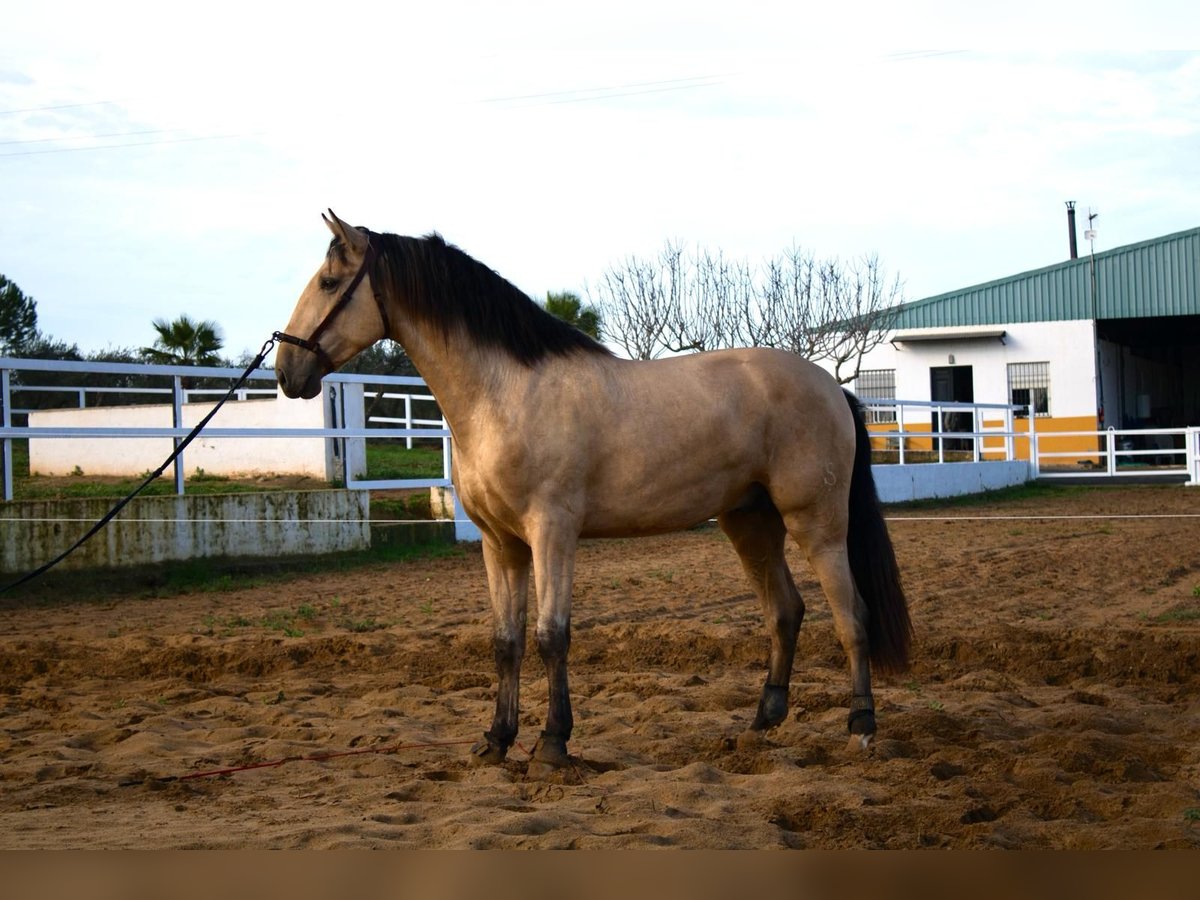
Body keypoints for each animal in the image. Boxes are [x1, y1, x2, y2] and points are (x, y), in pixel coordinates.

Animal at [274, 210, 907, 777]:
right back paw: (762, 721)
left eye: (329, 281)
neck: (504, 394)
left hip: (815, 523)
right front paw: (496, 741)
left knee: (850, 614)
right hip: (749, 522)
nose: (285, 370)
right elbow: (506, 641)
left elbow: (552, 636)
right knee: (785, 611)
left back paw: (862, 727)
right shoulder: (500, 545)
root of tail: (832, 387)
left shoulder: (552, 533)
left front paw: (553, 745)